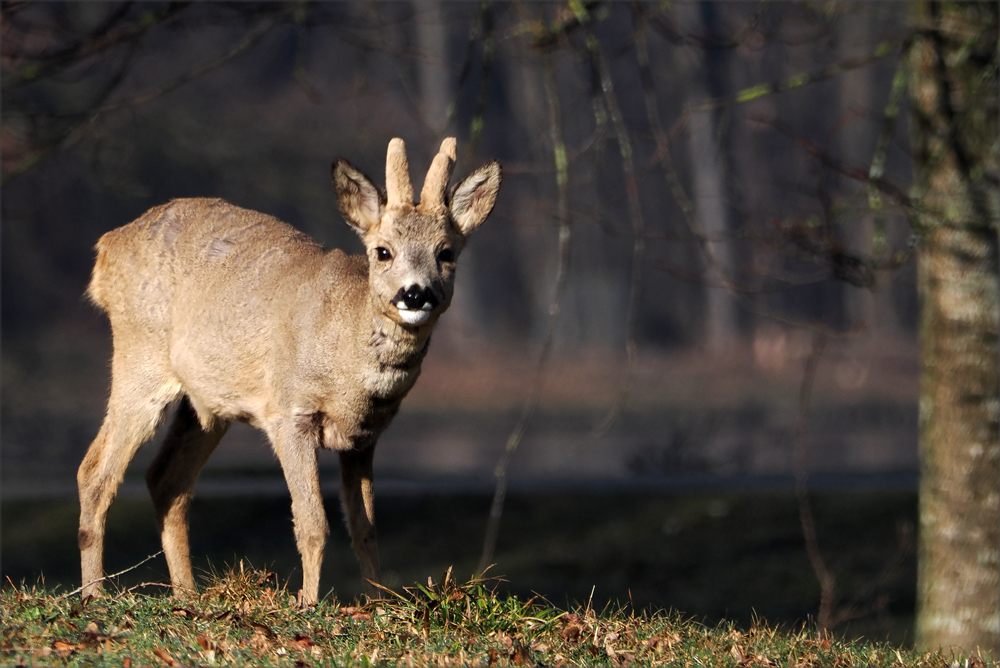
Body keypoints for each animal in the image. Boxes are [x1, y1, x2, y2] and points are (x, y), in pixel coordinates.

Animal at [79, 138, 504, 604]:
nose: (415, 293)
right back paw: (93, 594)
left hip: (207, 401)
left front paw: (377, 604)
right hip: (141, 358)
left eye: (445, 253)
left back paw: (187, 596)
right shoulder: (289, 413)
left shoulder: (364, 437)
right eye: (383, 251)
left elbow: (365, 528)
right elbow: (313, 523)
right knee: (95, 471)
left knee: (165, 479)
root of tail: (107, 247)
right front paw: (308, 603)